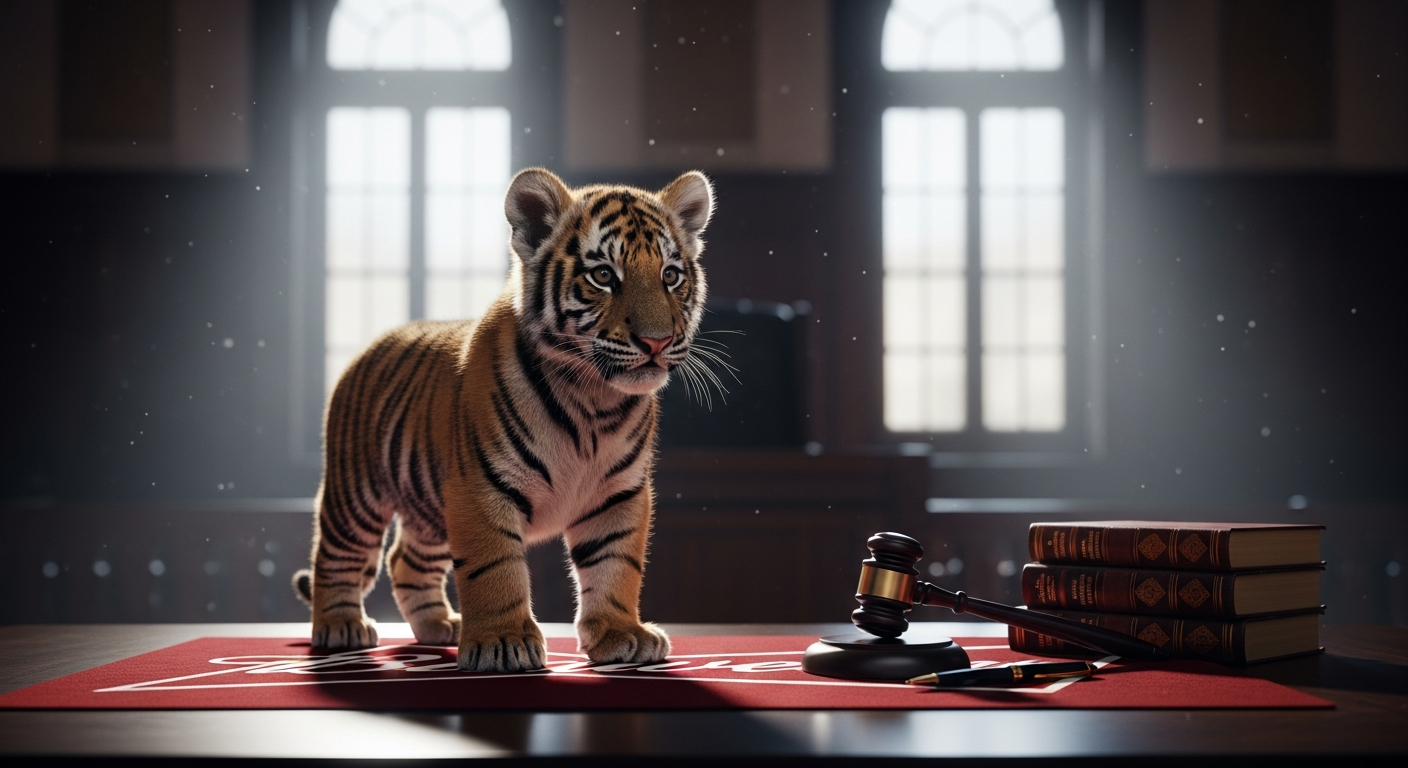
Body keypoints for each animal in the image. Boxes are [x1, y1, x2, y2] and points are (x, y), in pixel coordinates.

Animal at [292, 168, 715, 672]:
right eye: (603, 276)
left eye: (670, 276)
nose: (657, 341)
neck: (594, 400)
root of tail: (373, 344)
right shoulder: (480, 487)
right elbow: (494, 568)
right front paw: (503, 641)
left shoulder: (620, 493)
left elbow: (616, 565)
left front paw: (621, 635)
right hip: (355, 494)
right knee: (336, 556)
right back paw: (341, 626)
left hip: (430, 511)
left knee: (405, 561)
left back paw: (441, 626)